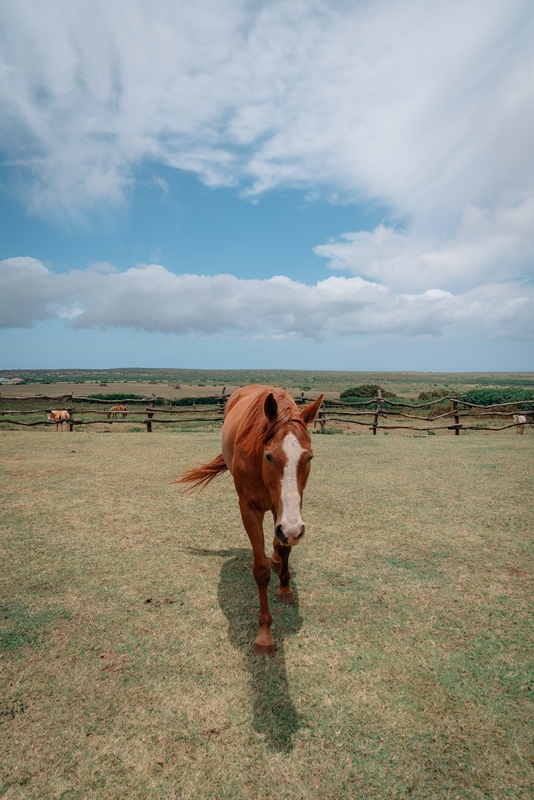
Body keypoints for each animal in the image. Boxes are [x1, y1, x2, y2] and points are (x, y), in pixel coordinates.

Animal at [178, 386, 324, 656]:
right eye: (269, 456)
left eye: (309, 457)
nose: (292, 530)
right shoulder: (249, 510)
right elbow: (261, 571)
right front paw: (265, 636)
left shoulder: (288, 510)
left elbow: (283, 548)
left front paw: (285, 588)